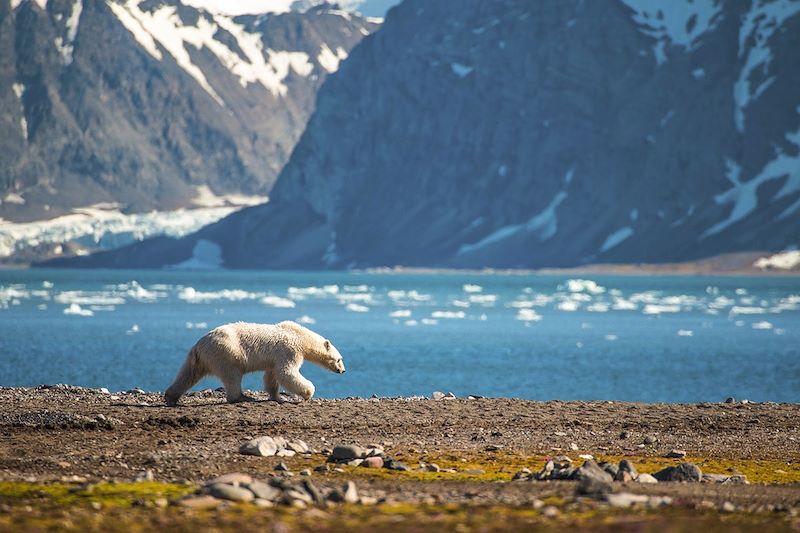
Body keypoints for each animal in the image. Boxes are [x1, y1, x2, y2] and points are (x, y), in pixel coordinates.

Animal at [166, 322, 344, 406]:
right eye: (339, 359)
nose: (342, 371)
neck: (300, 336)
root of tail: (199, 345)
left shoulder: (274, 359)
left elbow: (272, 375)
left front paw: (277, 397)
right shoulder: (289, 350)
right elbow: (287, 372)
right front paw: (308, 392)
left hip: (199, 359)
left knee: (188, 375)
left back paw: (170, 397)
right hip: (226, 352)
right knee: (232, 375)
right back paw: (244, 397)